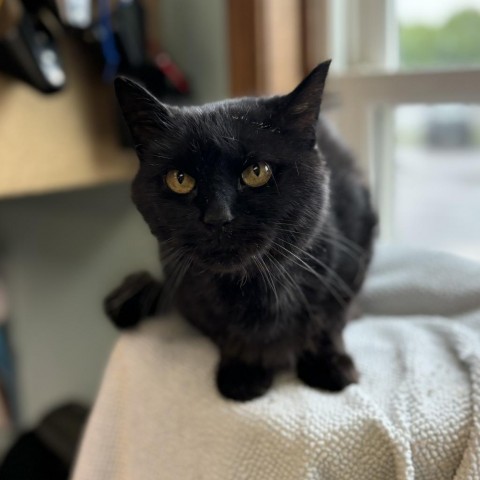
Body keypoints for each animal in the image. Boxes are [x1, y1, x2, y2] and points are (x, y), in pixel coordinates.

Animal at [106, 62, 378, 404]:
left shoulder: (351, 261)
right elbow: (223, 331)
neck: (254, 290)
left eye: (257, 172)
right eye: (179, 179)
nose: (217, 217)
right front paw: (244, 371)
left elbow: (329, 321)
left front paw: (329, 365)